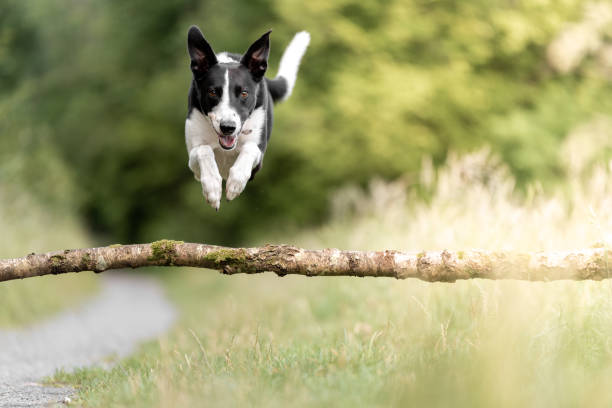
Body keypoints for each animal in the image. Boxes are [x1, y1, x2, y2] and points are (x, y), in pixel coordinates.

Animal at [185, 25, 310, 209]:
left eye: (244, 93)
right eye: (212, 92)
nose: (227, 127)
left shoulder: (258, 160)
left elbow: (249, 148)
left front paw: (235, 184)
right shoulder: (194, 163)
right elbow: (204, 150)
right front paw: (212, 187)